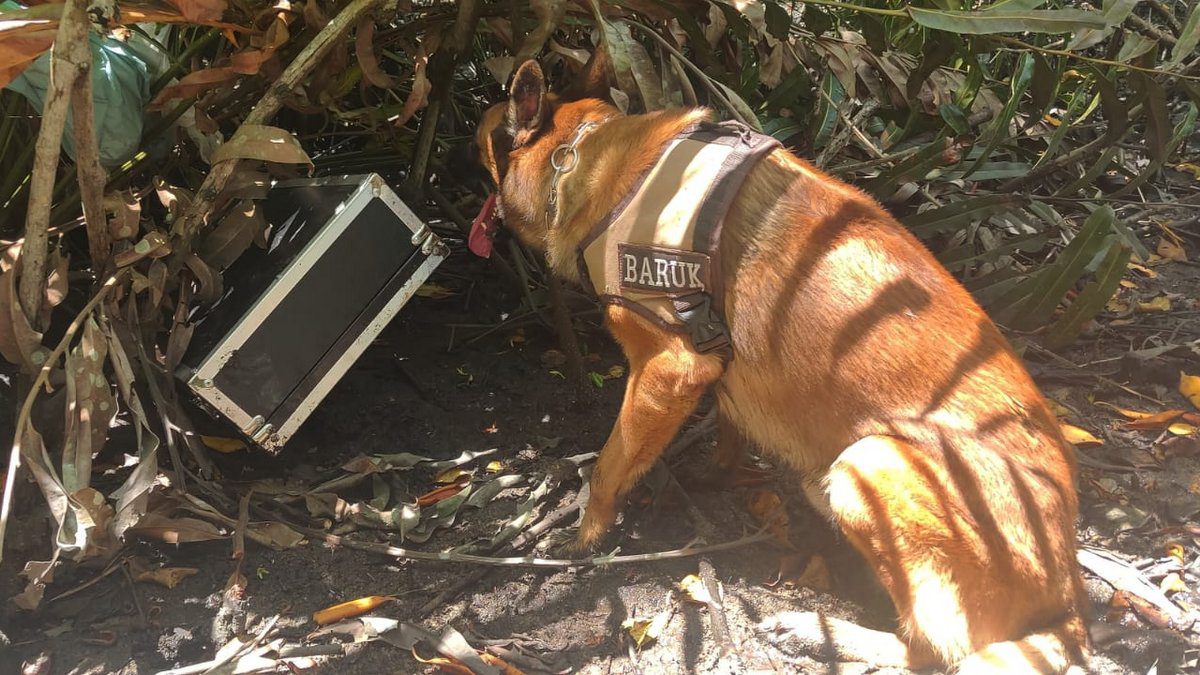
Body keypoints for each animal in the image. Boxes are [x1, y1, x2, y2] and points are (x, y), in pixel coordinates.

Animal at [472, 59, 1094, 672]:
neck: (589, 156)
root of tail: (1069, 597)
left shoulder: (669, 370)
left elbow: (609, 465)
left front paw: (583, 539)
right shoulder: (715, 373)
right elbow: (727, 431)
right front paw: (715, 477)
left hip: (868, 465)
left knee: (932, 649)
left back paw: (825, 632)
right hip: (833, 480)